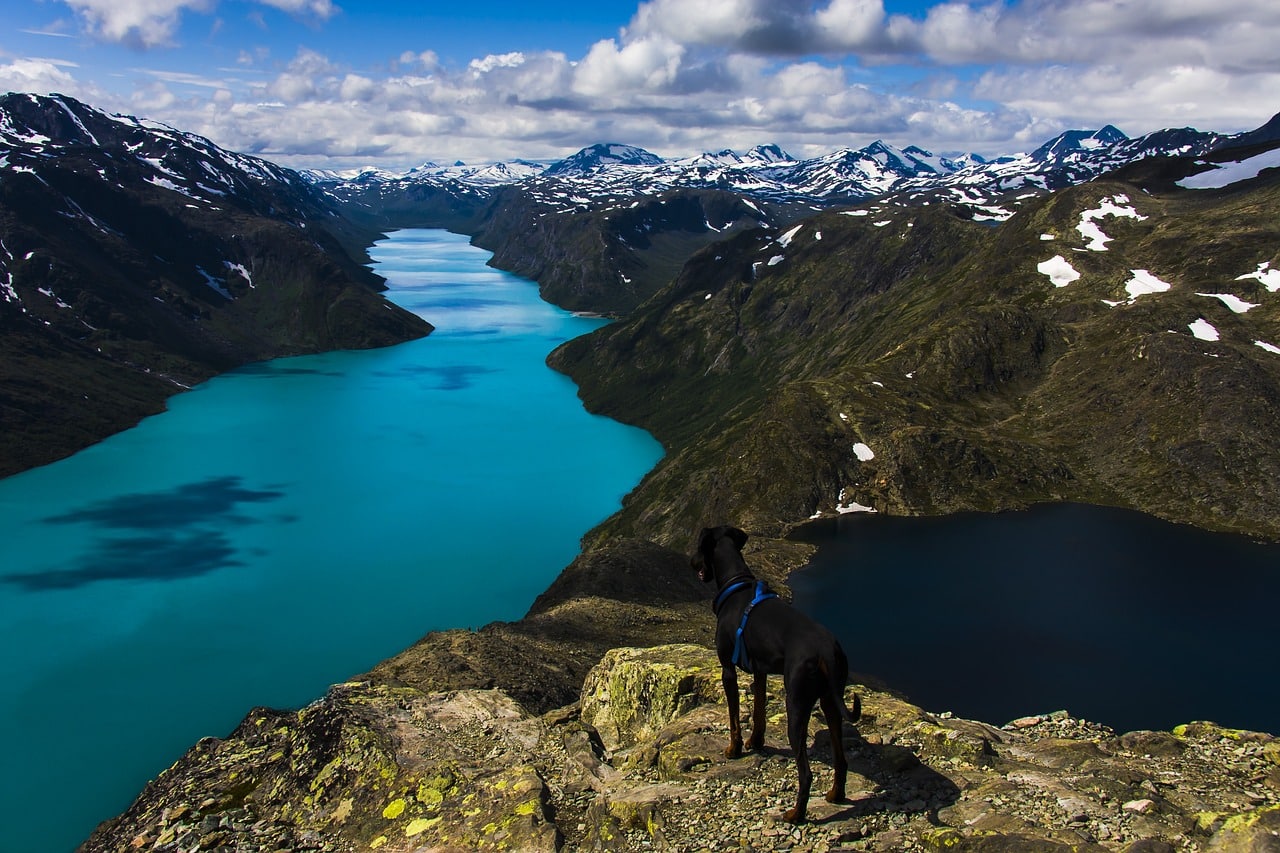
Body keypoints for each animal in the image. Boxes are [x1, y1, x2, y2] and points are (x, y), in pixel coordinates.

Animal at [691, 522, 860, 819]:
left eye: (700, 547)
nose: (691, 562)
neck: (737, 584)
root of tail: (826, 650)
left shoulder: (727, 669)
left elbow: (734, 718)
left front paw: (734, 748)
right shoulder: (760, 671)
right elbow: (759, 711)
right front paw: (756, 742)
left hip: (797, 705)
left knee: (806, 773)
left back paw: (796, 815)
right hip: (831, 701)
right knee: (841, 758)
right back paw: (835, 795)